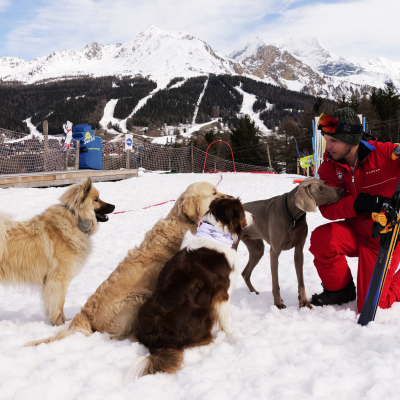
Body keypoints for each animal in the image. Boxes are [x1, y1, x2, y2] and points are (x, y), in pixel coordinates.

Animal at [0, 180, 115, 326]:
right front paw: (59, 323)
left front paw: (64, 321)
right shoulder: (59, 279)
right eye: (96, 199)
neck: (75, 219)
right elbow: (59, 303)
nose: (114, 206)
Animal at [238, 178, 344, 310]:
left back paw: (255, 293)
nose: (342, 190)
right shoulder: (275, 252)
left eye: (325, 183)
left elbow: (301, 280)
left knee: (245, 273)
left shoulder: (299, 251)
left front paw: (304, 302)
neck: (293, 217)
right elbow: (276, 282)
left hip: (257, 248)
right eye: (320, 189)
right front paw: (278, 303)